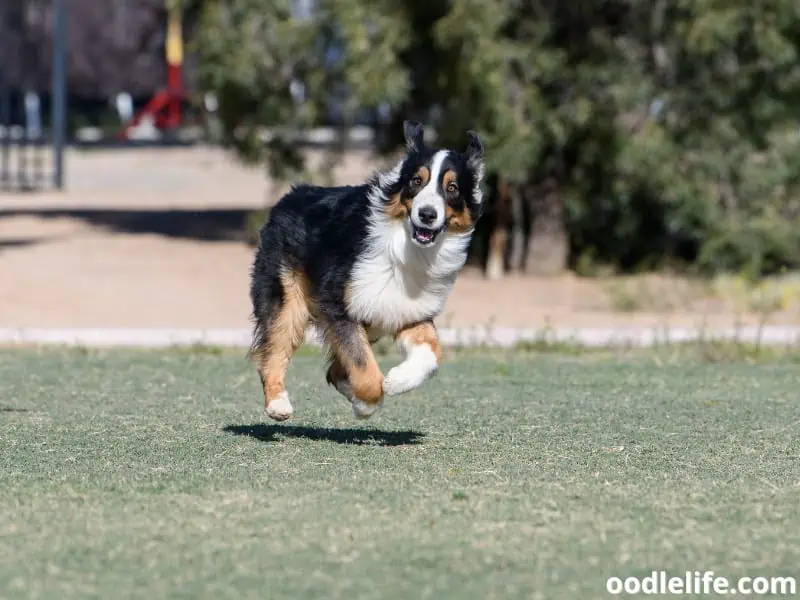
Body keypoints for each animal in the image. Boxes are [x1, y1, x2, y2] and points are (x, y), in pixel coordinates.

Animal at [250, 120, 484, 422]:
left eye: (452, 187)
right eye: (416, 181)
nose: (427, 214)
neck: (405, 245)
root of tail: (290, 196)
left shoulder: (408, 309)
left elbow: (432, 354)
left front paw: (396, 382)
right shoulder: (337, 303)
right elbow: (362, 364)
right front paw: (368, 402)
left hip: (372, 315)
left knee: (334, 369)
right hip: (288, 298)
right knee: (273, 351)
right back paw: (278, 403)